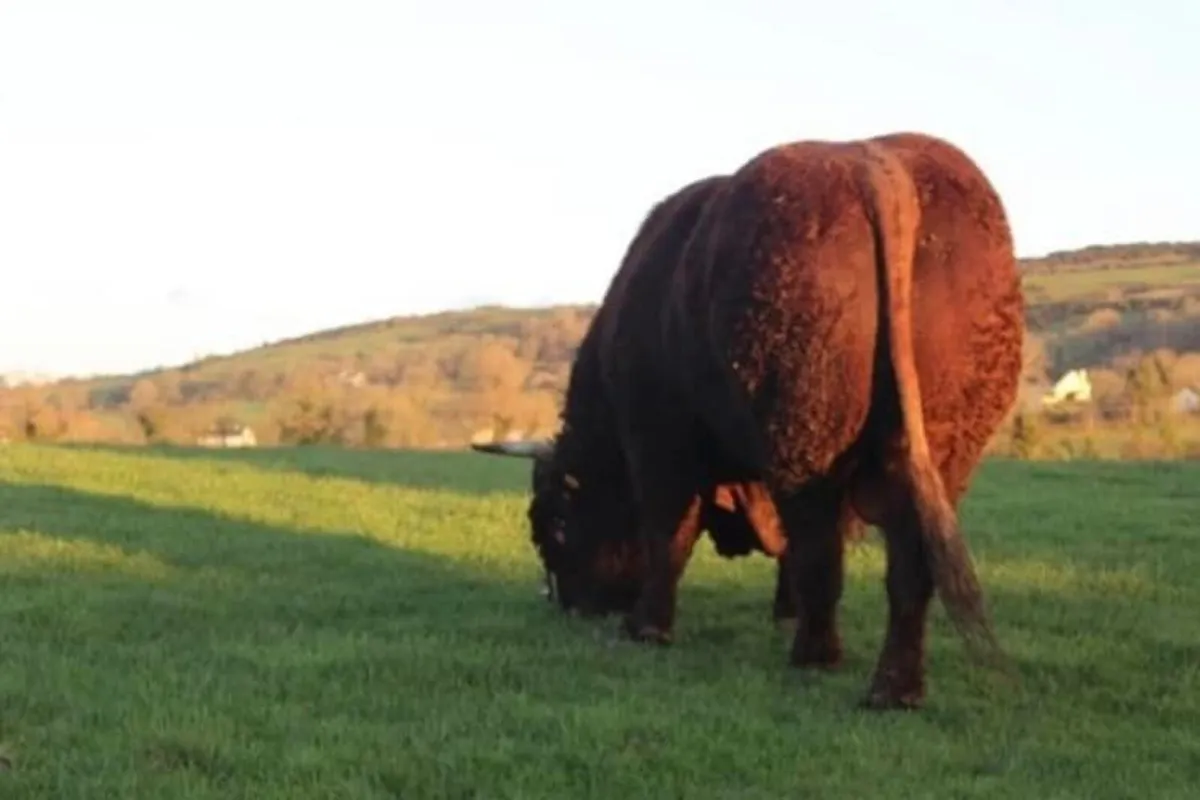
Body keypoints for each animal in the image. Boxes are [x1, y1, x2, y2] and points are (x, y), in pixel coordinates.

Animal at [477, 131, 1024, 709]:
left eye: (551, 524)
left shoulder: (658, 440)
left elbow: (670, 531)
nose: (572, 605)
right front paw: (783, 612)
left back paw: (817, 654)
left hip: (805, 444)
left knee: (820, 547)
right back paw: (893, 688)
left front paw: (648, 626)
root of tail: (870, 163)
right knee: (906, 560)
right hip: (940, 449)